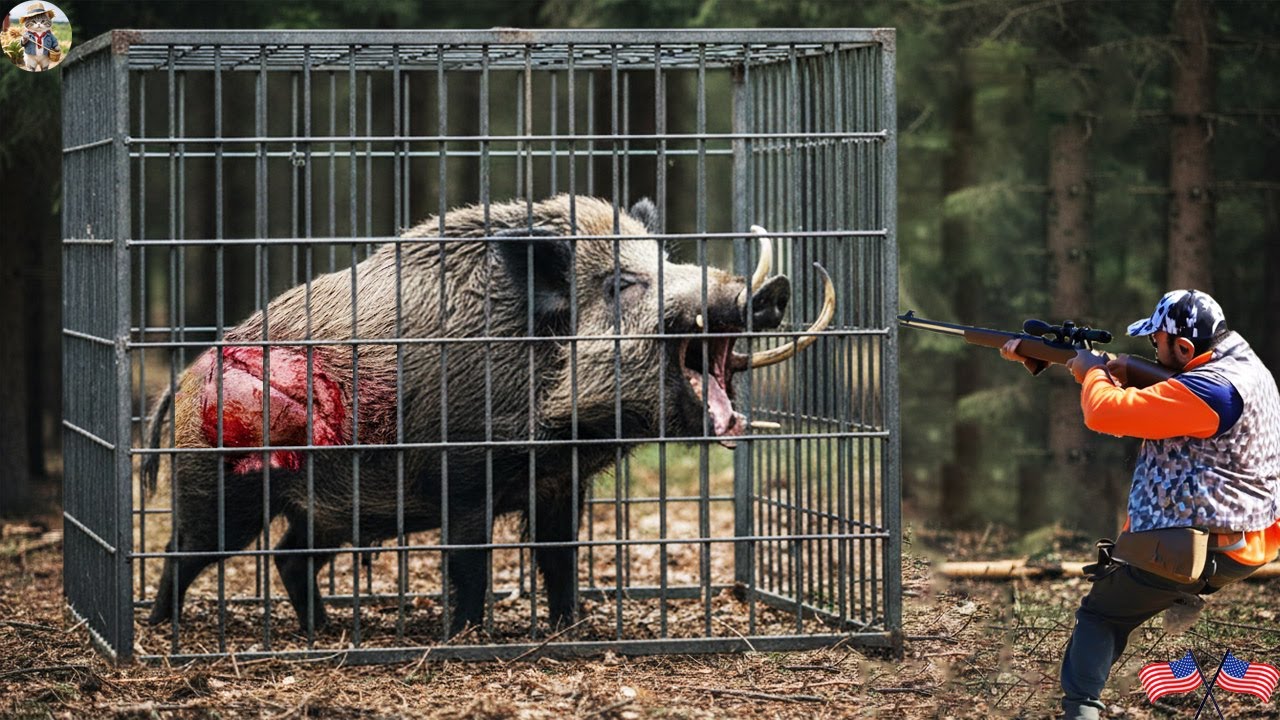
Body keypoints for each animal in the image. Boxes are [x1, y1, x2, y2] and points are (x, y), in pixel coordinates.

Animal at [142, 194, 834, 635]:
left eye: (664, 261)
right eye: (622, 283)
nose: (769, 291)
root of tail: (181, 379)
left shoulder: (561, 483)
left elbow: (559, 558)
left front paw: (572, 629)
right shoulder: (466, 475)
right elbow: (471, 562)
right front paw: (468, 636)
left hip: (328, 508)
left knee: (289, 556)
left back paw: (325, 632)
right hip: (219, 485)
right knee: (184, 551)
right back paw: (160, 631)